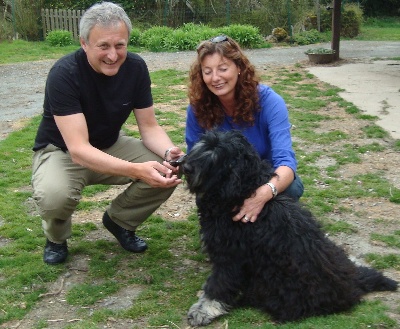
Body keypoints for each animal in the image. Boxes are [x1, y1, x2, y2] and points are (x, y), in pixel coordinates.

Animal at [183, 129, 398, 326]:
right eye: (203, 144)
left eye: (215, 154)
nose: (184, 166)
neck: (242, 191)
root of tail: (353, 285)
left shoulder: (231, 256)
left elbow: (219, 285)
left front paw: (203, 310)